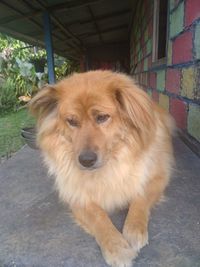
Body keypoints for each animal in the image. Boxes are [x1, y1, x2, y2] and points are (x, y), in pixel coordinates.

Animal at [28, 70, 174, 266]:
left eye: (102, 117)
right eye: (71, 121)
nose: (86, 160)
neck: (111, 165)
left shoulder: (157, 177)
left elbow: (140, 198)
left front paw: (134, 229)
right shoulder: (76, 195)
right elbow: (98, 217)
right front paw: (116, 247)